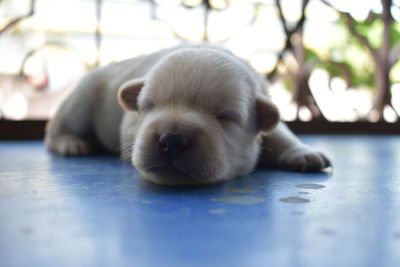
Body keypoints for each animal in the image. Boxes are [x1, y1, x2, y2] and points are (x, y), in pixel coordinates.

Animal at [44, 45, 332, 185]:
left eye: (225, 116)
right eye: (148, 105)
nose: (171, 140)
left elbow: (281, 133)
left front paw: (304, 153)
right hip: (81, 100)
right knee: (54, 130)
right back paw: (71, 143)